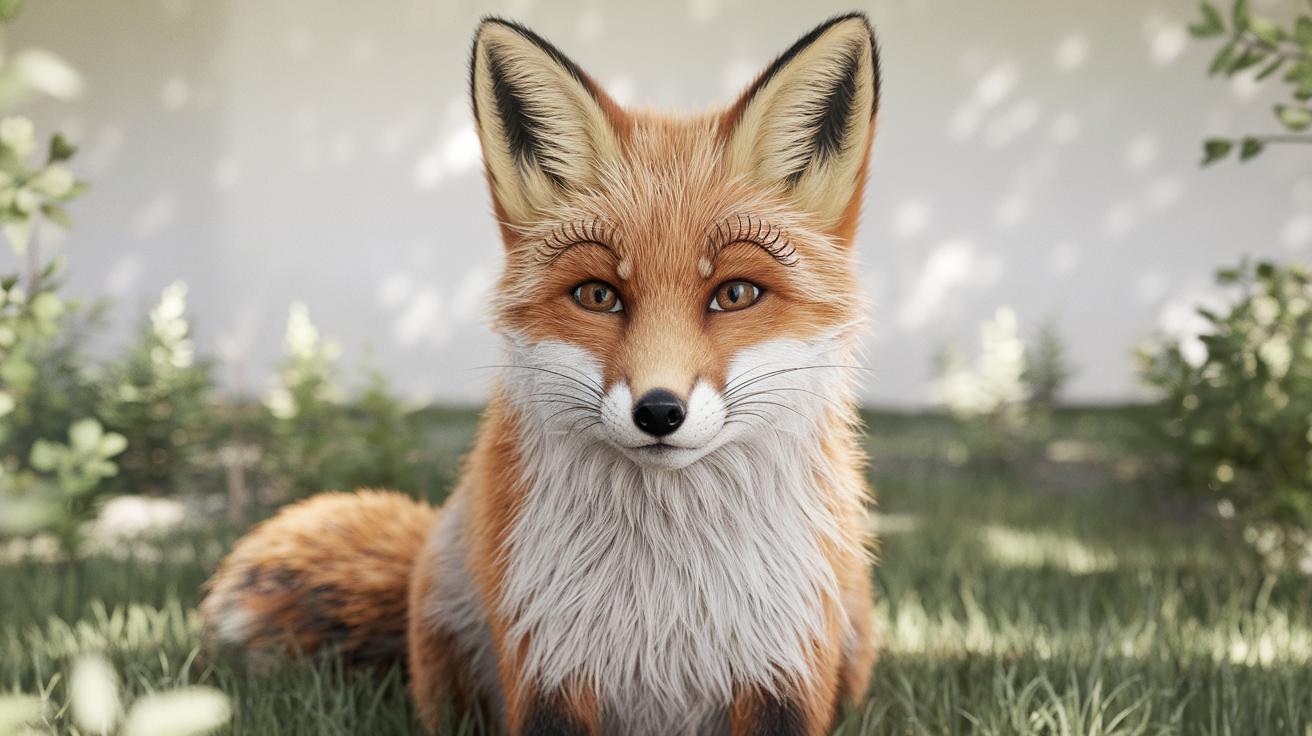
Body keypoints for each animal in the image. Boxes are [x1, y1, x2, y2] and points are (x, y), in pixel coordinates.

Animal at [201, 11, 881, 736]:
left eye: (735, 294)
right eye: (598, 295)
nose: (659, 411)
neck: (665, 592)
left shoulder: (784, 664)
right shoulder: (548, 661)